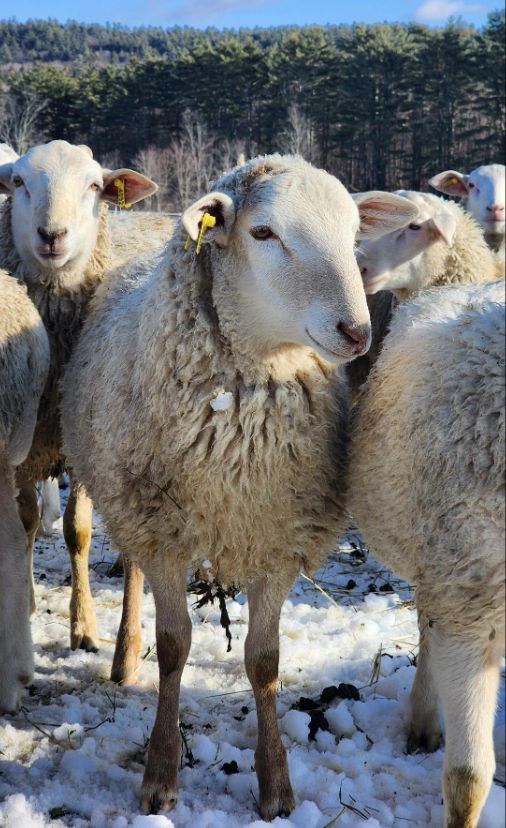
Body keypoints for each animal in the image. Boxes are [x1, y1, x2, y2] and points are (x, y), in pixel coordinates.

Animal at [0, 139, 157, 651]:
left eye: (93, 185)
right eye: (19, 182)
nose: (52, 234)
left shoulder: (81, 438)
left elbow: (78, 531)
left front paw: (84, 625)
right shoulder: (26, 440)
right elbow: (26, 520)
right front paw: (26, 601)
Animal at [61, 154, 419, 818]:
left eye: (355, 232)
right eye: (263, 233)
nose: (356, 332)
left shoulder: (279, 536)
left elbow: (264, 661)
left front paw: (276, 785)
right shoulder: (163, 532)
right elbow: (174, 647)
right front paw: (160, 774)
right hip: (133, 503)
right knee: (132, 574)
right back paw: (124, 655)